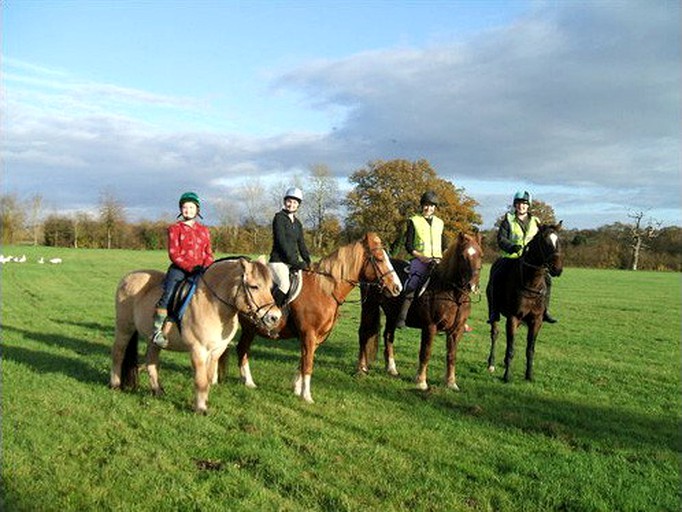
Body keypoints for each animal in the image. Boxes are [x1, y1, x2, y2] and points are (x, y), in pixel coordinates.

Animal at [110, 258, 280, 414]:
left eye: (270, 287)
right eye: (254, 286)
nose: (275, 317)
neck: (213, 306)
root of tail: (128, 277)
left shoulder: (216, 351)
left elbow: (209, 379)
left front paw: (204, 403)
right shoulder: (198, 349)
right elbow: (201, 380)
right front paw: (201, 408)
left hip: (153, 340)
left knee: (151, 362)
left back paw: (157, 391)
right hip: (124, 328)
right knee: (118, 353)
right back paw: (115, 385)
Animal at [218, 232, 402, 404]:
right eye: (379, 259)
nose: (397, 288)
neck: (325, 289)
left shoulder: (317, 336)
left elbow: (303, 360)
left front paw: (296, 388)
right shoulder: (309, 333)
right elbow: (308, 364)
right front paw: (306, 396)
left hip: (249, 328)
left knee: (241, 349)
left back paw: (246, 381)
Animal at [354, 233, 480, 392]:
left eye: (480, 255)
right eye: (463, 256)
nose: (472, 286)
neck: (453, 294)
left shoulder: (456, 331)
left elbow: (451, 355)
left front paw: (451, 383)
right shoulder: (430, 327)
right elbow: (425, 353)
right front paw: (421, 381)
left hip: (392, 315)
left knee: (388, 337)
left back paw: (391, 368)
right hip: (369, 307)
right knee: (364, 334)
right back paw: (361, 368)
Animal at [486, 222, 560, 382]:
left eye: (558, 241)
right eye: (544, 242)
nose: (557, 269)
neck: (531, 282)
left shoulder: (536, 320)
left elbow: (530, 349)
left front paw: (529, 375)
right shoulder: (513, 318)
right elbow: (511, 348)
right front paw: (507, 376)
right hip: (494, 313)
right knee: (495, 334)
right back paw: (491, 364)